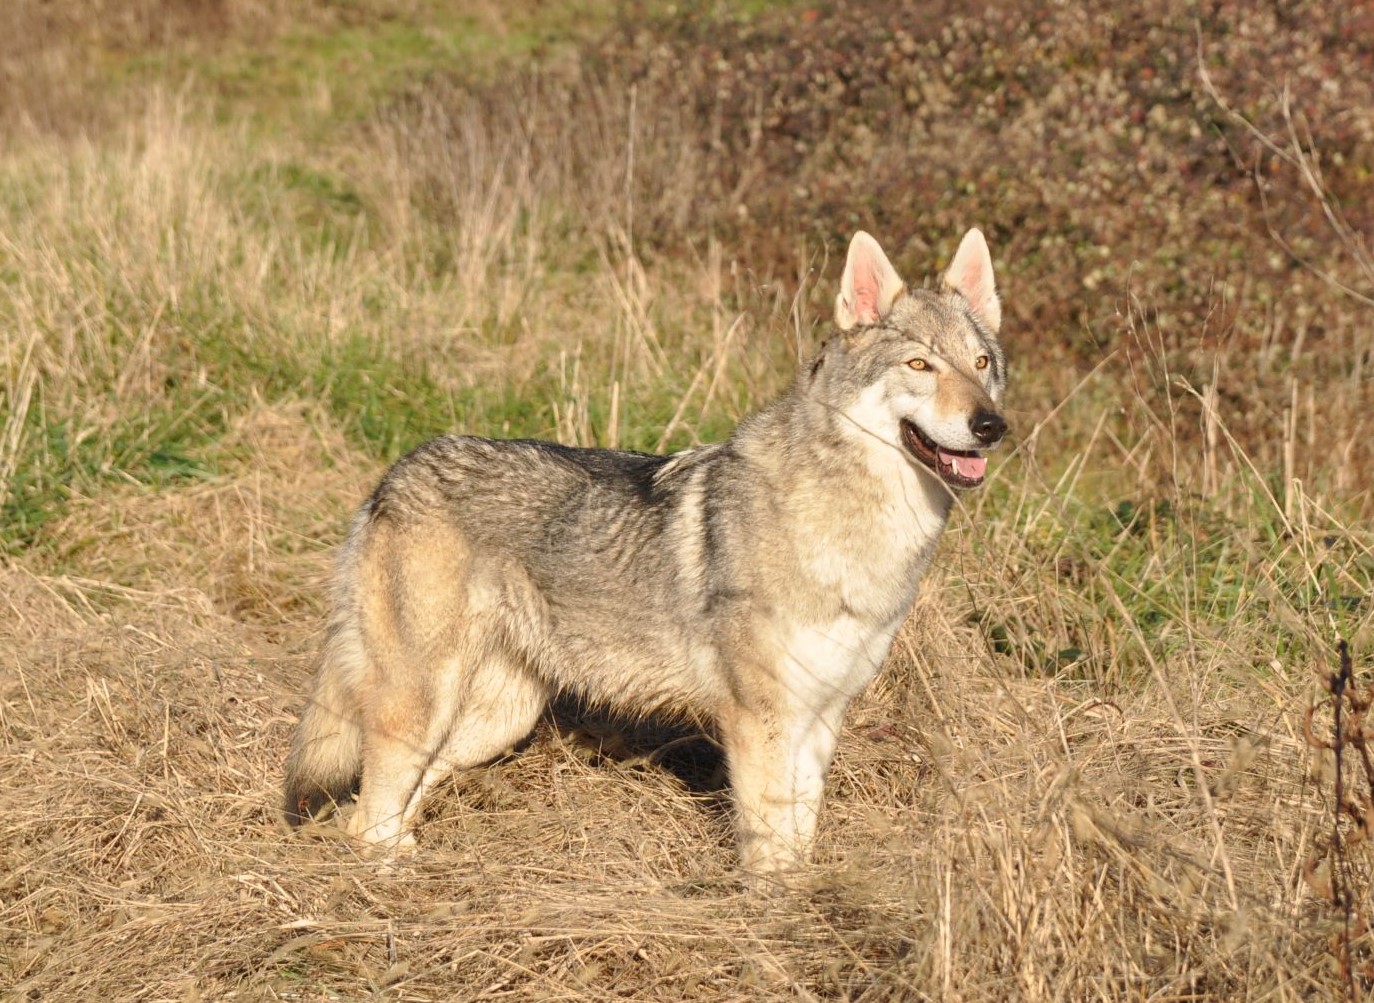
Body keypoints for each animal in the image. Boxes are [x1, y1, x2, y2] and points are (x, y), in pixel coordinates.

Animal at [283, 228, 1009, 878]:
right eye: (920, 365)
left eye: (980, 365)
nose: (991, 426)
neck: (857, 531)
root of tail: (392, 474)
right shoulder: (762, 722)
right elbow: (769, 851)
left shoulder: (819, 719)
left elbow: (798, 841)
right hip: (422, 704)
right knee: (364, 819)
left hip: (494, 722)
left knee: (399, 798)